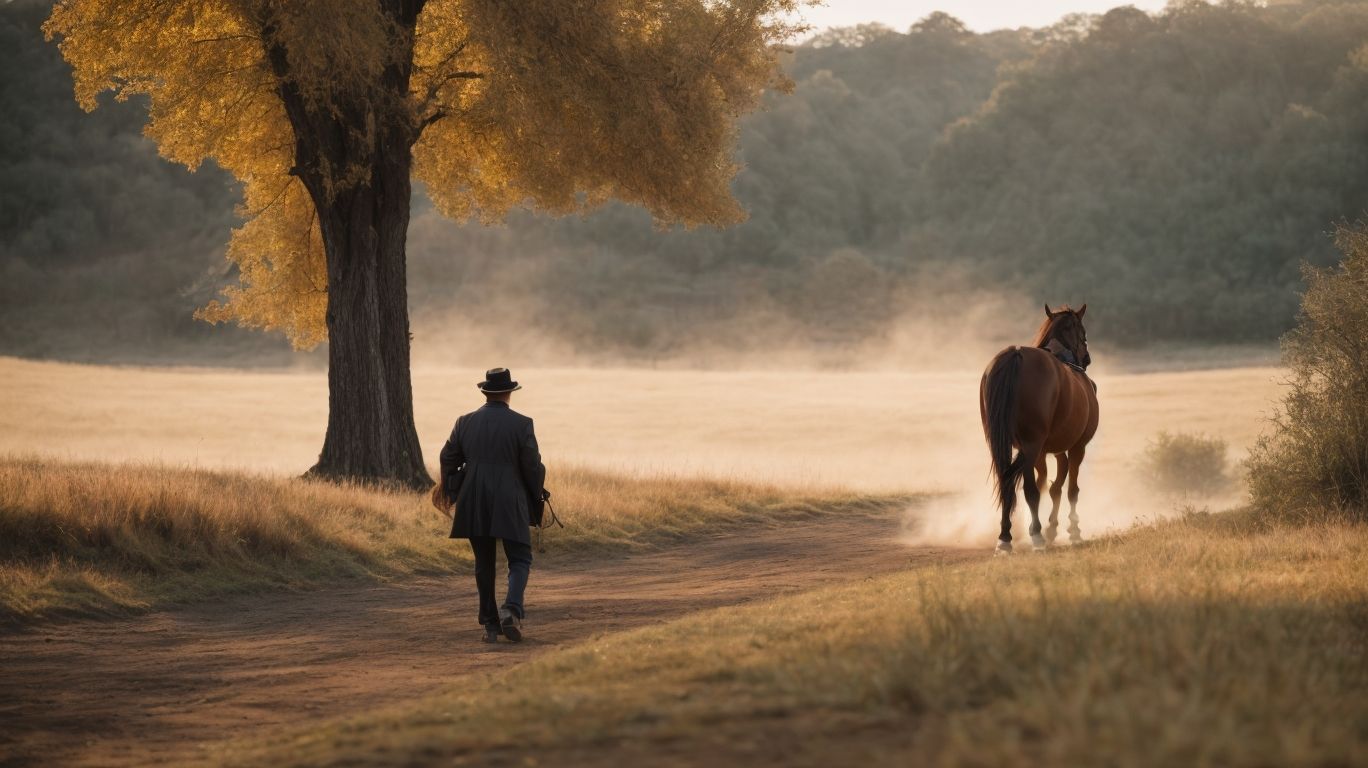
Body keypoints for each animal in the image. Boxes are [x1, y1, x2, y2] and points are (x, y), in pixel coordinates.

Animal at [979, 304, 1099, 554]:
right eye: (1082, 331)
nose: (1086, 359)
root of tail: (1016, 355)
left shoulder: (1046, 451)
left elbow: (1052, 486)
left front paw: (1052, 527)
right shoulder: (1077, 447)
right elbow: (1070, 489)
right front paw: (1073, 530)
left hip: (1002, 444)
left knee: (1007, 482)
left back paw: (1005, 537)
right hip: (1034, 445)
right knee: (1030, 490)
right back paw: (1036, 536)